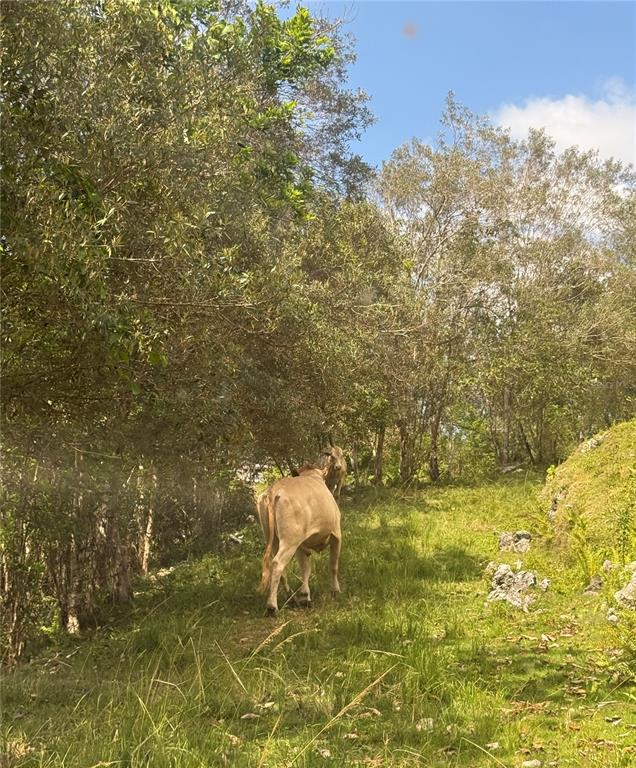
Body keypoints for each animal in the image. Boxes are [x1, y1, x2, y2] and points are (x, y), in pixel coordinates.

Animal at [257, 464, 342, 615]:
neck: (311, 475)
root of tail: (274, 490)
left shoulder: (301, 545)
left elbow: (305, 569)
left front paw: (305, 596)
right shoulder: (336, 534)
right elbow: (333, 566)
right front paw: (335, 590)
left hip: (273, 538)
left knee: (278, 566)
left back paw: (291, 596)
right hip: (289, 540)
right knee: (278, 563)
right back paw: (272, 605)